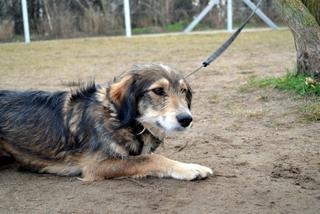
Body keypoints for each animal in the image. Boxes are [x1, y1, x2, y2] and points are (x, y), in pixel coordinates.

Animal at [1, 63, 214, 181]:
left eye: (184, 91)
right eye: (158, 91)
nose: (187, 119)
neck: (119, 119)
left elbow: (147, 156)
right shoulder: (96, 165)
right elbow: (152, 158)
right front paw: (190, 168)